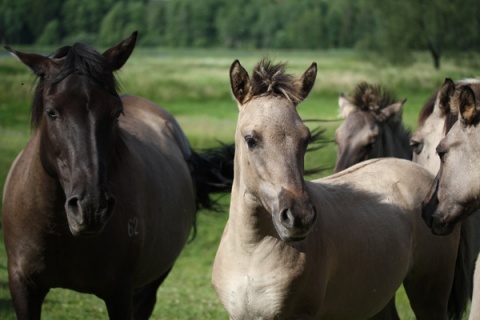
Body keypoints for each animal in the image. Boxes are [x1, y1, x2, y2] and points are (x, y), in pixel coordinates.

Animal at [0, 31, 232, 318]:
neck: (59, 230)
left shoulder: (119, 293)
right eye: (51, 112)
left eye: (115, 112)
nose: (91, 208)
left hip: (150, 283)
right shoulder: (23, 288)